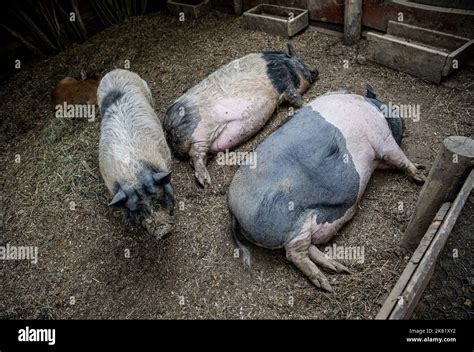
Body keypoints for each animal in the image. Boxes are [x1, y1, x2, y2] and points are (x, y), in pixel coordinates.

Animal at [97, 69, 175, 239]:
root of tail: (114, 71)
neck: (133, 172)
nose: (164, 232)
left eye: (158, 199)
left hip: (146, 89)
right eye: (138, 209)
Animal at [162, 43, 318, 187]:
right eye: (300, 61)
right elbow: (295, 97)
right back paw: (206, 182)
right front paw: (307, 103)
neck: (285, 64)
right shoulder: (284, 84)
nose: (316, 70)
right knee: (195, 155)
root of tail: (167, 126)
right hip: (200, 132)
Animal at [228, 85, 424, 292]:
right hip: (289, 222)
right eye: (391, 109)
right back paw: (326, 284)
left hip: (306, 223)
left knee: (308, 248)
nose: (403, 120)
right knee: (294, 253)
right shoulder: (383, 140)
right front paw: (421, 176)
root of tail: (233, 211)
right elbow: (400, 158)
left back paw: (340, 269)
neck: (374, 107)